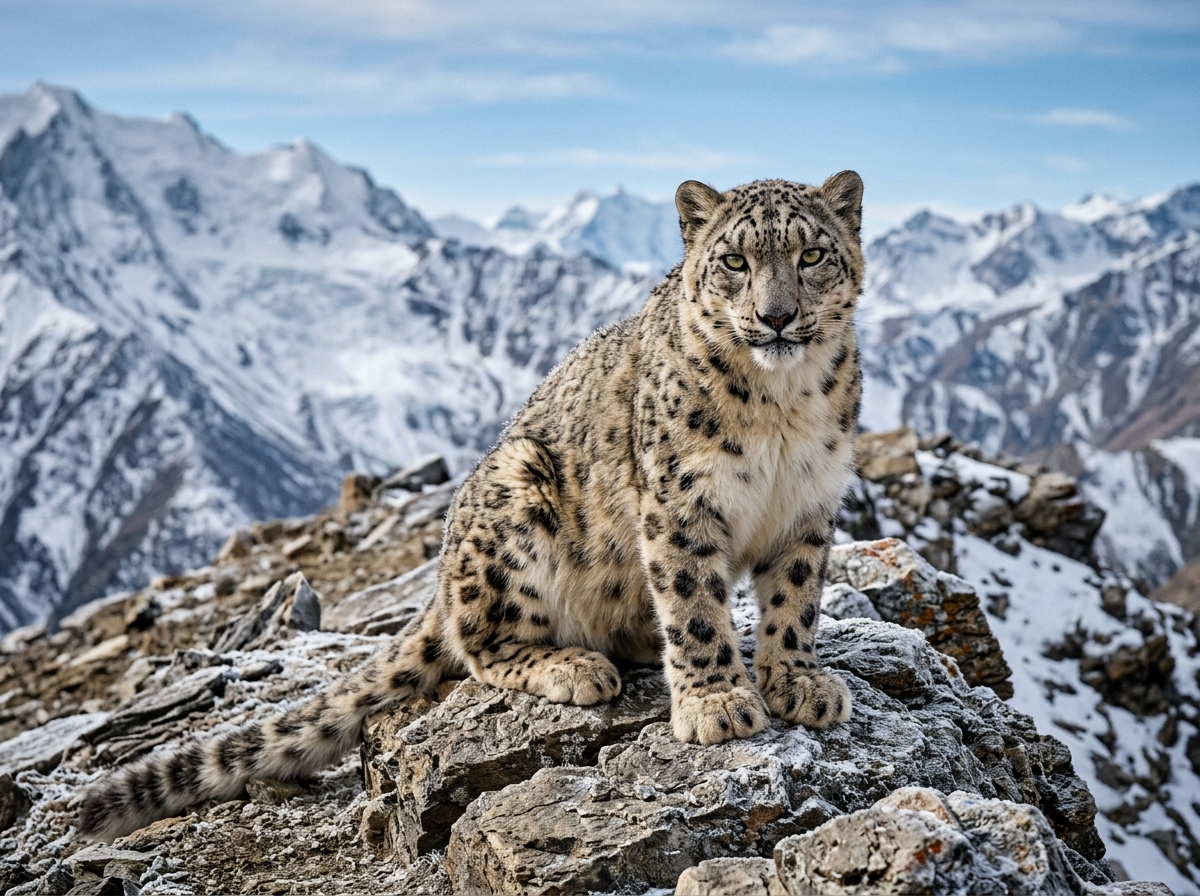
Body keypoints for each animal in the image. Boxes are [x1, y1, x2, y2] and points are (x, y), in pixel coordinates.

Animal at [78, 171, 865, 841]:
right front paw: (716, 702)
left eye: (813, 254)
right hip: (517, 506)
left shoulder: (809, 506)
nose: (776, 317)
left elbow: (795, 603)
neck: (781, 407)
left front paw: (797, 682)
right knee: (479, 644)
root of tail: (441, 578)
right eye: (733, 260)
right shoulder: (680, 503)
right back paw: (574, 667)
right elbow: (695, 603)